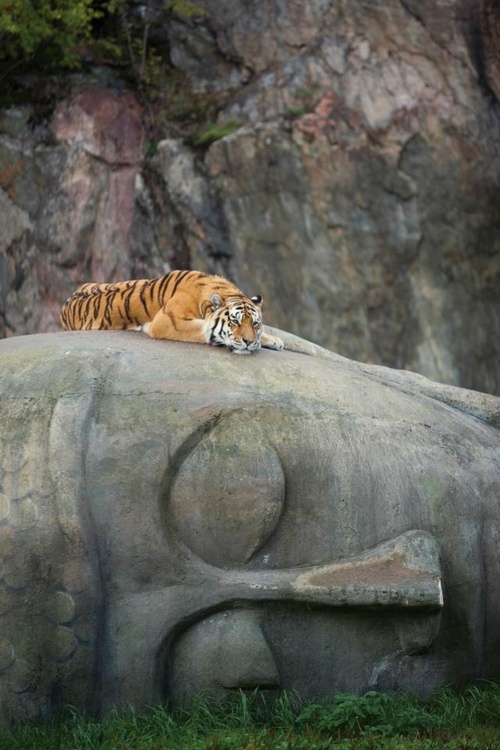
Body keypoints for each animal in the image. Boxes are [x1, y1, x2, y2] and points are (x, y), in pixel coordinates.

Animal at [60, 270, 284, 355]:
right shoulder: (168, 321)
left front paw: (273, 340)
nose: (248, 342)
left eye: (254, 323)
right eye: (235, 321)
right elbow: (205, 328)